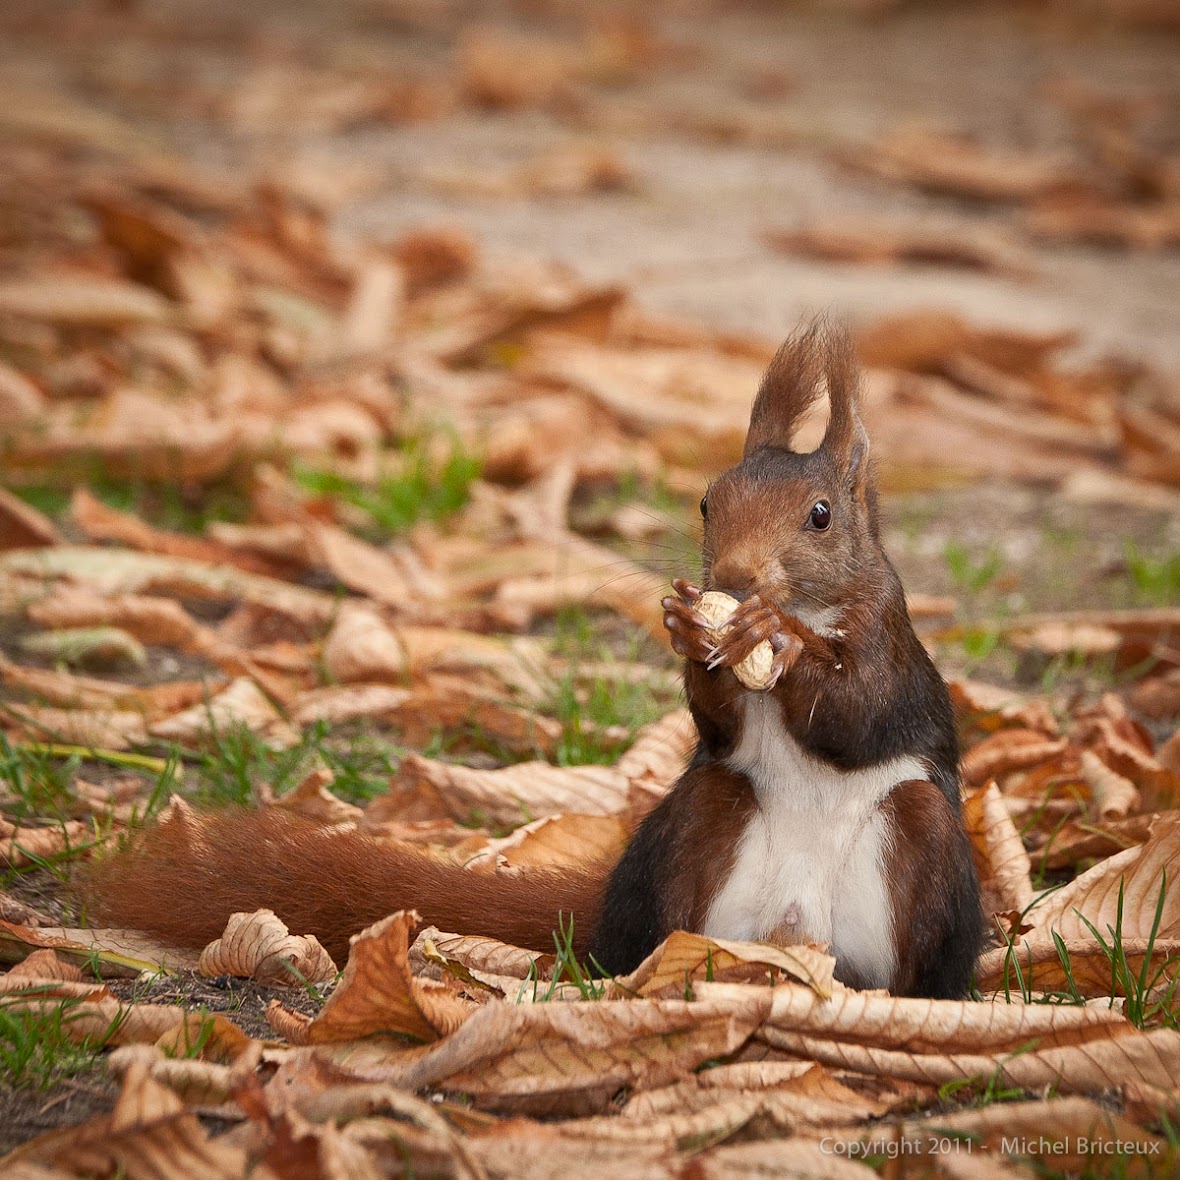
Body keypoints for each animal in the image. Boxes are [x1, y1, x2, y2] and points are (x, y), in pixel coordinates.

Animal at [87, 328, 981, 1000]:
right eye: (706, 503)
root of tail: (789, 944)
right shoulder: (725, 727)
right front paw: (689, 634)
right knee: (662, 917)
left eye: (820, 516)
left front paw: (782, 643)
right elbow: (721, 726)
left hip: (923, 848)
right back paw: (657, 975)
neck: (813, 606)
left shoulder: (888, 639)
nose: (732, 578)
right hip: (702, 820)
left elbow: (862, 715)